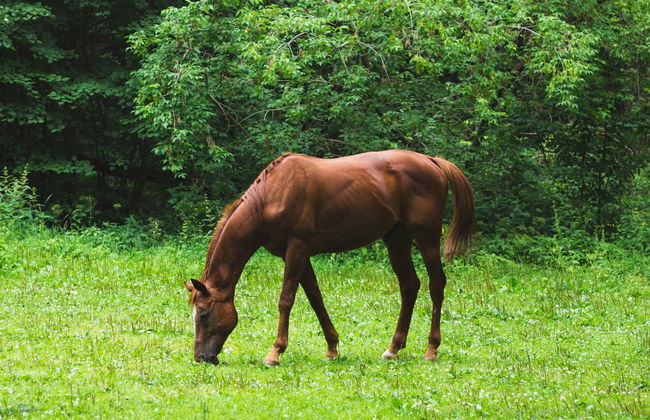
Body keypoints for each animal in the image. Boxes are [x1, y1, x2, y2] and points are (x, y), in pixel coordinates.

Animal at [185, 150, 474, 366]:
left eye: (203, 315)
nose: (202, 357)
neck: (270, 196)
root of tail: (432, 161)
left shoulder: (297, 248)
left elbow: (286, 300)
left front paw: (275, 352)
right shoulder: (298, 255)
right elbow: (316, 298)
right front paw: (332, 347)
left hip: (427, 238)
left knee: (436, 284)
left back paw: (431, 349)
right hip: (397, 238)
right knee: (409, 285)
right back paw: (393, 348)